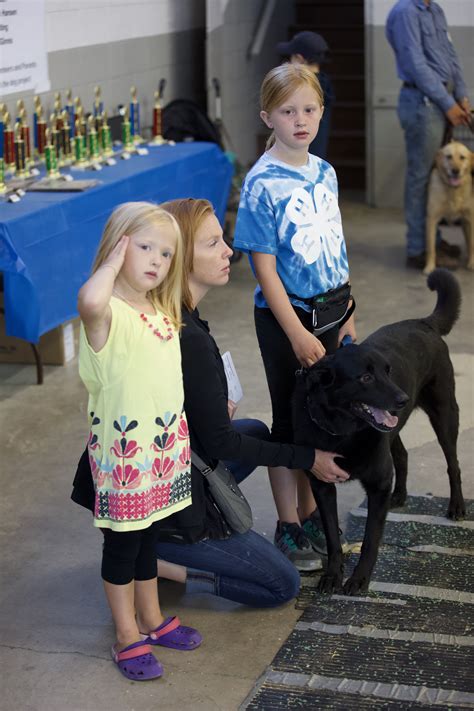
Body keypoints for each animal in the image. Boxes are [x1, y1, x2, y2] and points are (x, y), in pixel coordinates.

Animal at [294, 270, 464, 596]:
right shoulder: (322, 486)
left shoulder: (377, 485)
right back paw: (400, 495)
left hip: (445, 414)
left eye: (387, 370)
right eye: (365, 377)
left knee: (453, 464)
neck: (343, 433)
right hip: (393, 430)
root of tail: (423, 322)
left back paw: (457, 506)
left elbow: (371, 539)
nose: (402, 399)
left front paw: (359, 579)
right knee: (402, 454)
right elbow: (332, 538)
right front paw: (333, 575)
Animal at [426, 140, 474, 274]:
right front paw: (429, 266)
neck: (453, 190)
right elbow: (431, 248)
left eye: (462, 157)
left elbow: (472, 244)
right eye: (448, 157)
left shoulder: (470, 220)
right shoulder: (431, 219)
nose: (455, 170)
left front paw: (472, 262)